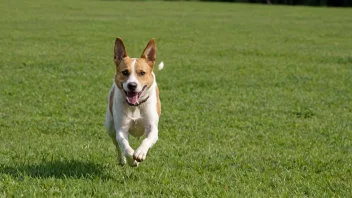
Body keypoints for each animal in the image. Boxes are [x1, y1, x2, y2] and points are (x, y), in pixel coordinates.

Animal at [104, 37, 164, 167]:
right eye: (125, 72)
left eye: (142, 73)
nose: (132, 85)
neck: (135, 106)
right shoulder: (121, 129)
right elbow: (125, 146)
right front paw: (132, 160)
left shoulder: (152, 128)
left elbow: (147, 139)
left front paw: (140, 153)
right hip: (110, 126)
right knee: (116, 144)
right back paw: (122, 160)